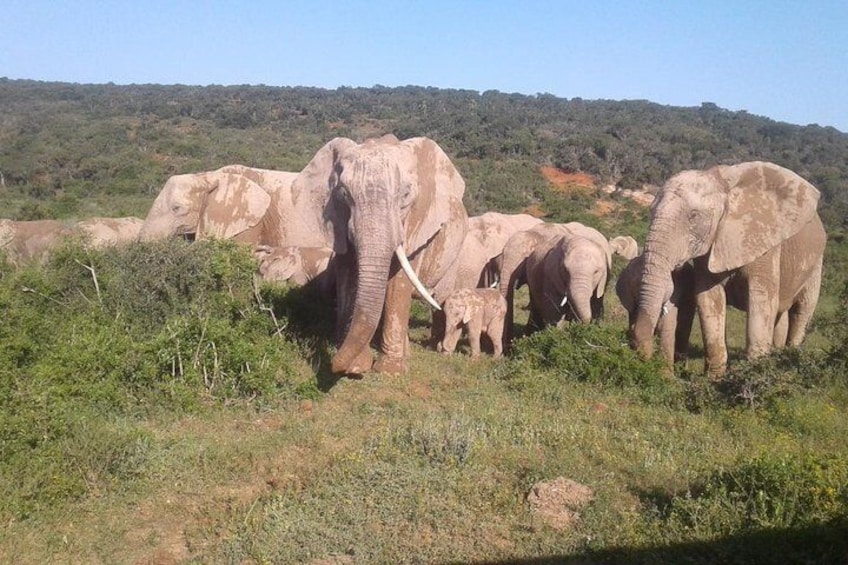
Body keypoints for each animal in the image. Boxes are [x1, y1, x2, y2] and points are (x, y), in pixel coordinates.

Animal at [290, 135, 468, 376]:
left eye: (405, 196)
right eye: (344, 194)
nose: (334, 363)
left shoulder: (416, 224)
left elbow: (398, 284)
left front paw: (390, 371)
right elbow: (349, 277)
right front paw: (355, 366)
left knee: (440, 300)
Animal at [632, 161, 824, 376]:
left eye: (693, 216)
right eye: (650, 211)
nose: (647, 361)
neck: (721, 183)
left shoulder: (764, 241)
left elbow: (761, 300)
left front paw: (753, 374)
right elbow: (708, 299)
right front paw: (714, 378)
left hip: (817, 263)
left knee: (802, 310)